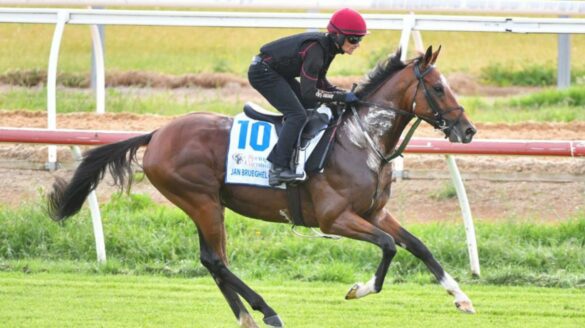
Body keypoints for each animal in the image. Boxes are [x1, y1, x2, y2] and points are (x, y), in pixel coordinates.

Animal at [48, 46, 476, 328]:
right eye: (438, 88)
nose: (468, 130)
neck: (361, 139)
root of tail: (156, 134)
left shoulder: (375, 212)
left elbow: (418, 246)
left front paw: (462, 297)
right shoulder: (334, 219)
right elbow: (388, 247)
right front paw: (359, 288)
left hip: (207, 204)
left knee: (212, 261)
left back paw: (248, 317)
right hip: (201, 201)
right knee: (217, 261)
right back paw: (267, 311)